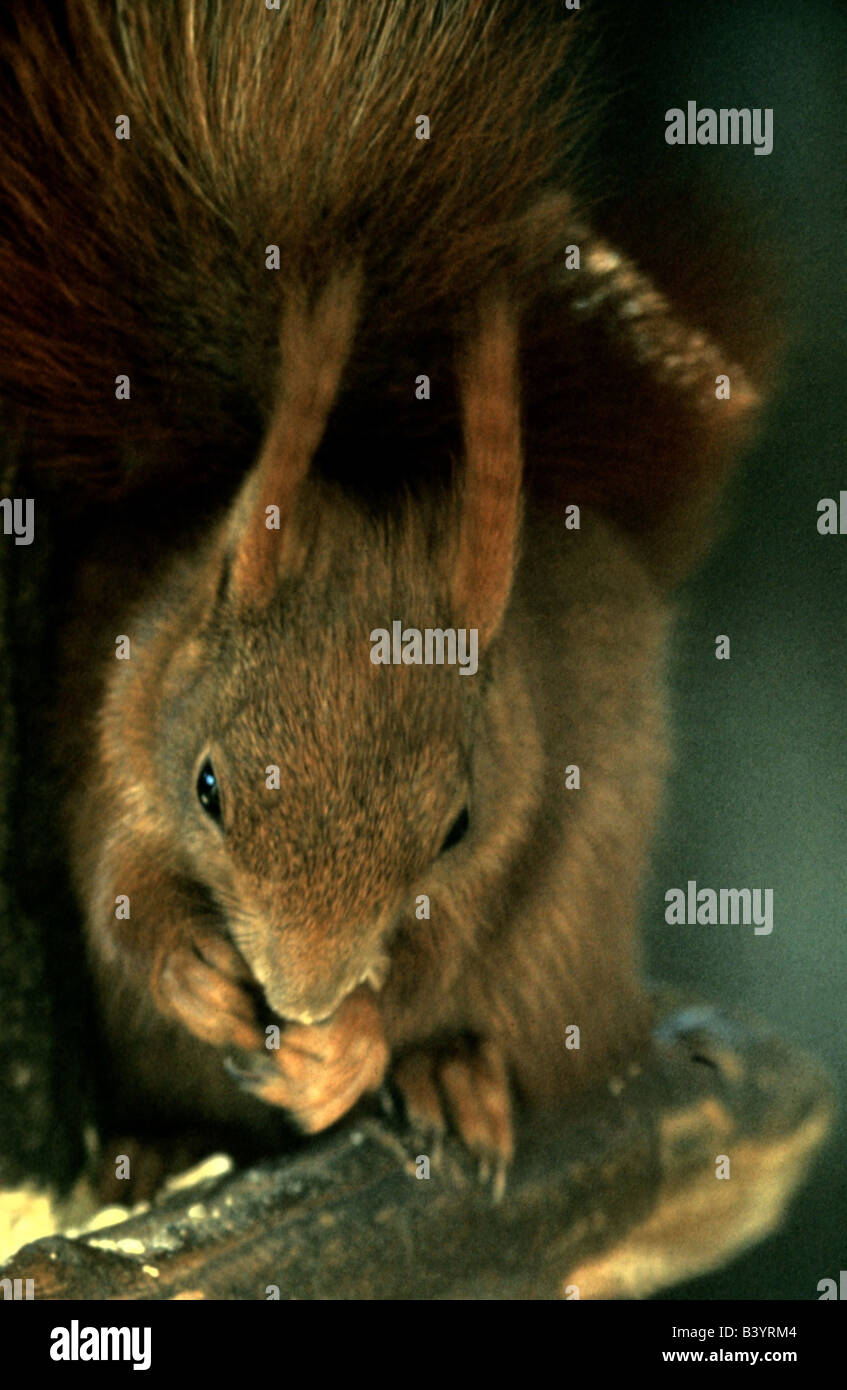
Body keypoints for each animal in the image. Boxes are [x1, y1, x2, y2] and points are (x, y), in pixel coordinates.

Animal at [0, 1, 764, 1189]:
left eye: (454, 825)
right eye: (208, 787)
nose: (303, 997)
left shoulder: (515, 799)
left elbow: (440, 950)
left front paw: (352, 1043)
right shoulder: (117, 720)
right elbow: (115, 888)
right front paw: (191, 974)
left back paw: (453, 1078)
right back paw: (160, 1149)